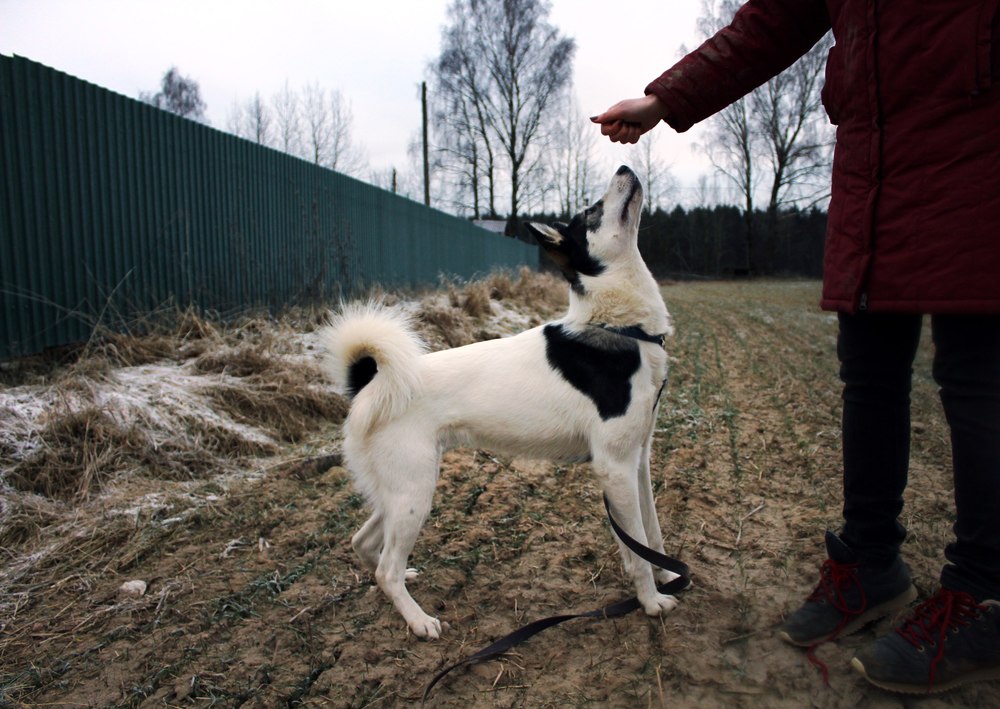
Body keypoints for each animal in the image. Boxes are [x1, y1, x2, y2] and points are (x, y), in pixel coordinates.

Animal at [324, 165, 676, 636]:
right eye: (592, 211)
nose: (624, 168)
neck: (620, 327)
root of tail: (372, 381)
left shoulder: (637, 461)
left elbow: (649, 536)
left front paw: (666, 575)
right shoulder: (614, 466)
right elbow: (637, 546)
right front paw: (650, 602)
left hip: (399, 490)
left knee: (365, 545)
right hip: (415, 492)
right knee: (386, 569)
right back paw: (418, 620)